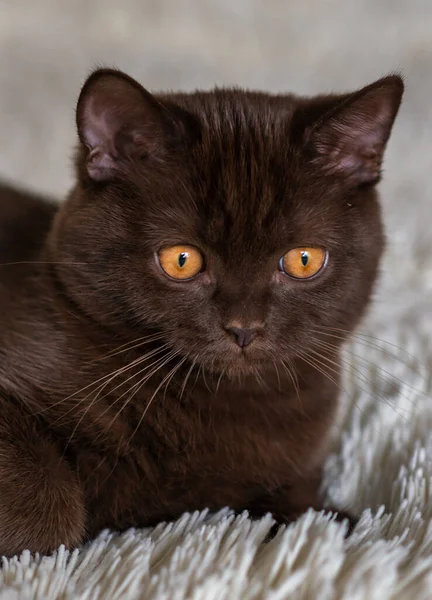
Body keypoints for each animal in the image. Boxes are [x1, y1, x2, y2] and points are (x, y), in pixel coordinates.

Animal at [0, 68, 404, 556]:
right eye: (181, 260)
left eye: (303, 260)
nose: (244, 328)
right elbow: (48, 505)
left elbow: (304, 505)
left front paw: (332, 520)